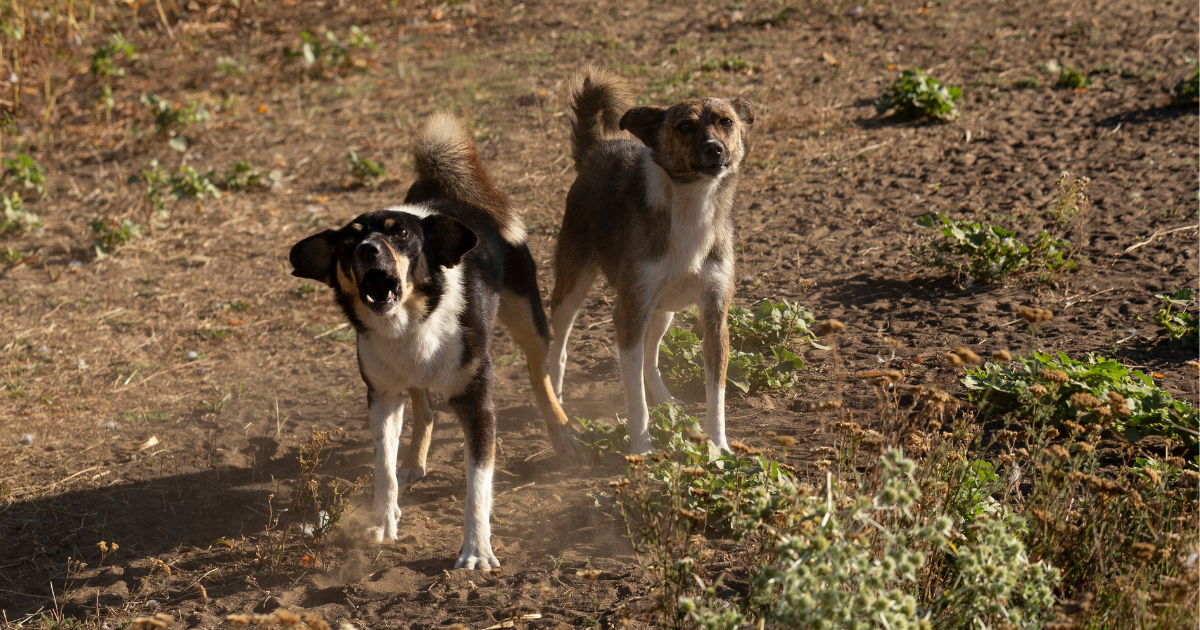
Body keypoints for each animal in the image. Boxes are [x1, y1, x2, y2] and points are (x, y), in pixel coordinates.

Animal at [288, 112, 573, 568]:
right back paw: (413, 459)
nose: (367, 250)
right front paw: (383, 522)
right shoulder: (382, 396)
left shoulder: (478, 405)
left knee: (539, 374)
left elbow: (478, 487)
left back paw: (561, 429)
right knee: (424, 408)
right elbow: (383, 470)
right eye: (349, 240)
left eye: (400, 234)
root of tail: (446, 192)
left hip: (529, 318)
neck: (409, 324)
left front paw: (476, 550)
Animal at [549, 67, 753, 451]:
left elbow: (715, 393)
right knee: (559, 348)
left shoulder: (715, 316)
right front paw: (641, 449)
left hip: (663, 312)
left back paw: (665, 398)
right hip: (571, 290)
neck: (692, 207)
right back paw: (556, 403)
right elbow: (634, 400)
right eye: (684, 126)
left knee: (650, 359)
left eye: (726, 122)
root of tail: (596, 149)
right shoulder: (628, 314)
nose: (714, 148)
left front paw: (718, 446)